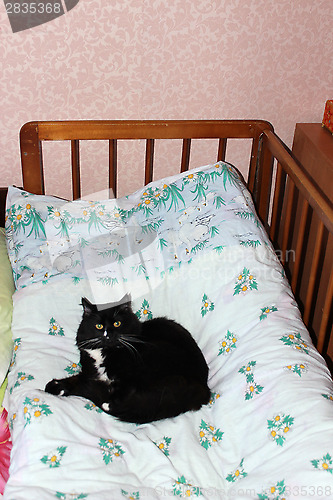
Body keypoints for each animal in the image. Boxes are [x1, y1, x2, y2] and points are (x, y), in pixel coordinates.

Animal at [44, 296, 210, 422]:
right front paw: (55, 386)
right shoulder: (89, 372)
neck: (105, 352)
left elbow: (119, 391)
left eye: (117, 323)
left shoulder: (129, 375)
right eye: (99, 326)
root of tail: (202, 388)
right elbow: (75, 379)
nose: (108, 334)